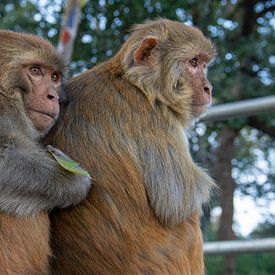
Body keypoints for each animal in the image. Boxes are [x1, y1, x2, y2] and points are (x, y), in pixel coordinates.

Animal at [46, 18, 217, 274]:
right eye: (193, 62)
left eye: (204, 64)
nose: (209, 88)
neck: (134, 82)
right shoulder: (157, 117)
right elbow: (176, 204)